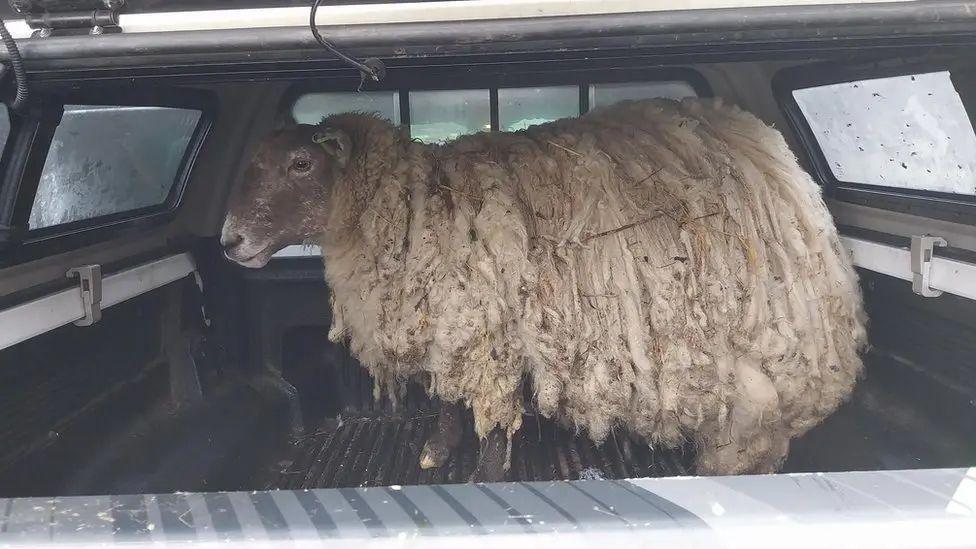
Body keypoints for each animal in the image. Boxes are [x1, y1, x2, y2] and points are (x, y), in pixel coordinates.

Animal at [223, 97, 868, 480]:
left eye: (301, 164)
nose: (229, 240)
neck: (412, 207)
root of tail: (777, 155)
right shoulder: (447, 324)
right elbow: (446, 398)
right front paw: (437, 450)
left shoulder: (488, 330)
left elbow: (487, 410)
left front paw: (485, 473)